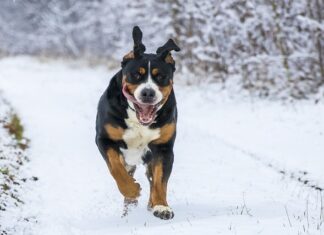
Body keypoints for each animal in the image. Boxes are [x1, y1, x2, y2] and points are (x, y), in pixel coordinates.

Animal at [95, 26, 181, 220]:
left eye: (161, 76)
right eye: (136, 75)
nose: (148, 93)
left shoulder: (163, 148)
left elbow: (160, 181)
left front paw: (161, 206)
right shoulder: (105, 139)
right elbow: (116, 168)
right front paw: (132, 189)